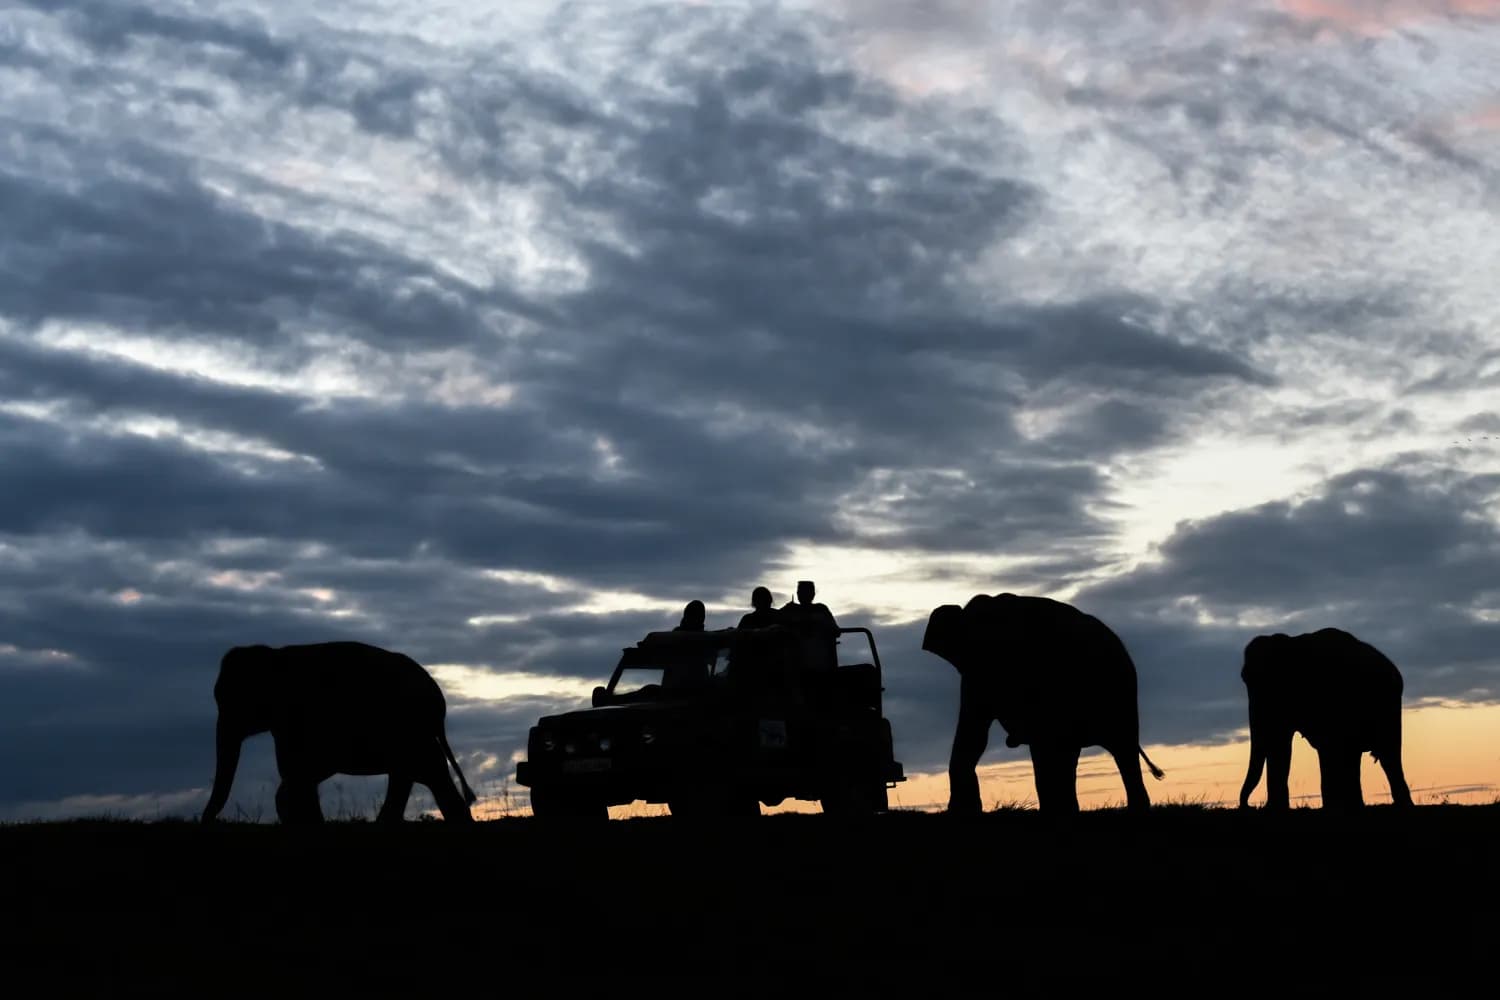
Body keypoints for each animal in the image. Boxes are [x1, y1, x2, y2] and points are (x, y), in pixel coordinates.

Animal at [200, 641, 479, 825]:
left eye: (234, 701)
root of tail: (437, 696)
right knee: (424, 776)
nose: (207, 820)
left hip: (409, 729)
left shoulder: (296, 719)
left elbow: (297, 775)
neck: (272, 656)